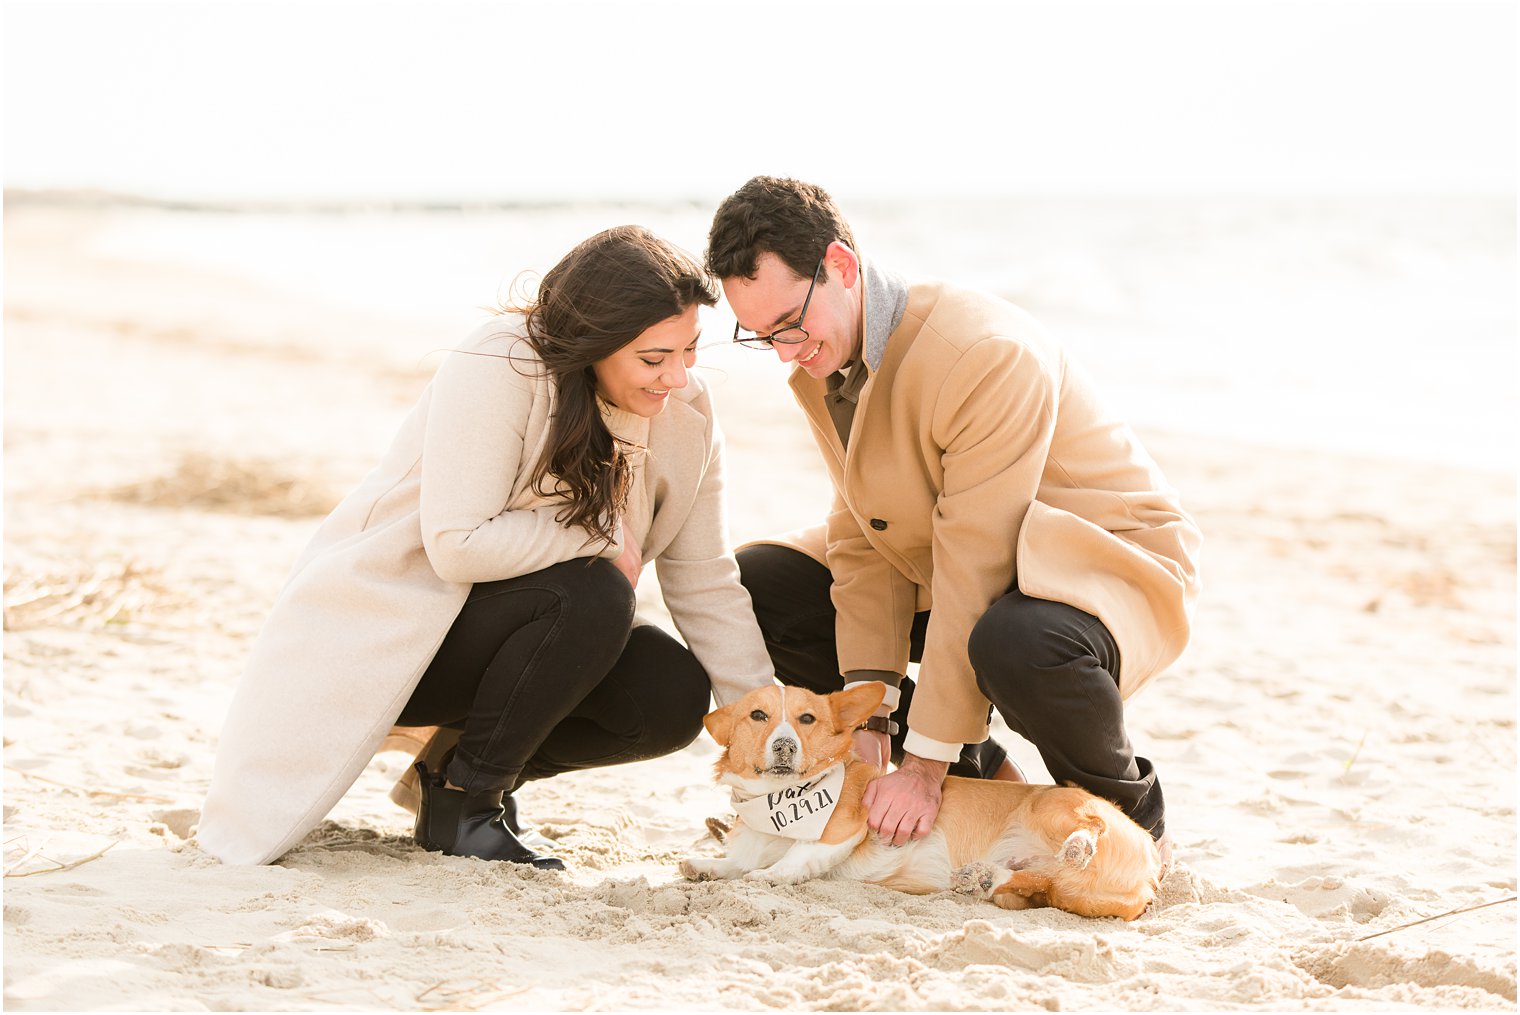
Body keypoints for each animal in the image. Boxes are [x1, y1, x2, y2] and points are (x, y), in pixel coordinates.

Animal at [680, 680, 1161, 917]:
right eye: (758, 716)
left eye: (807, 719)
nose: (784, 745)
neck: (775, 800)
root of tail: (1152, 868)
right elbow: (736, 862)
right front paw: (705, 866)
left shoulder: (846, 827)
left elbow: (797, 855)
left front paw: (768, 876)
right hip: (1050, 892)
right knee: (1037, 885)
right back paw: (983, 877)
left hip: (1054, 810)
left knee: (1087, 829)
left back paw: (1078, 846)